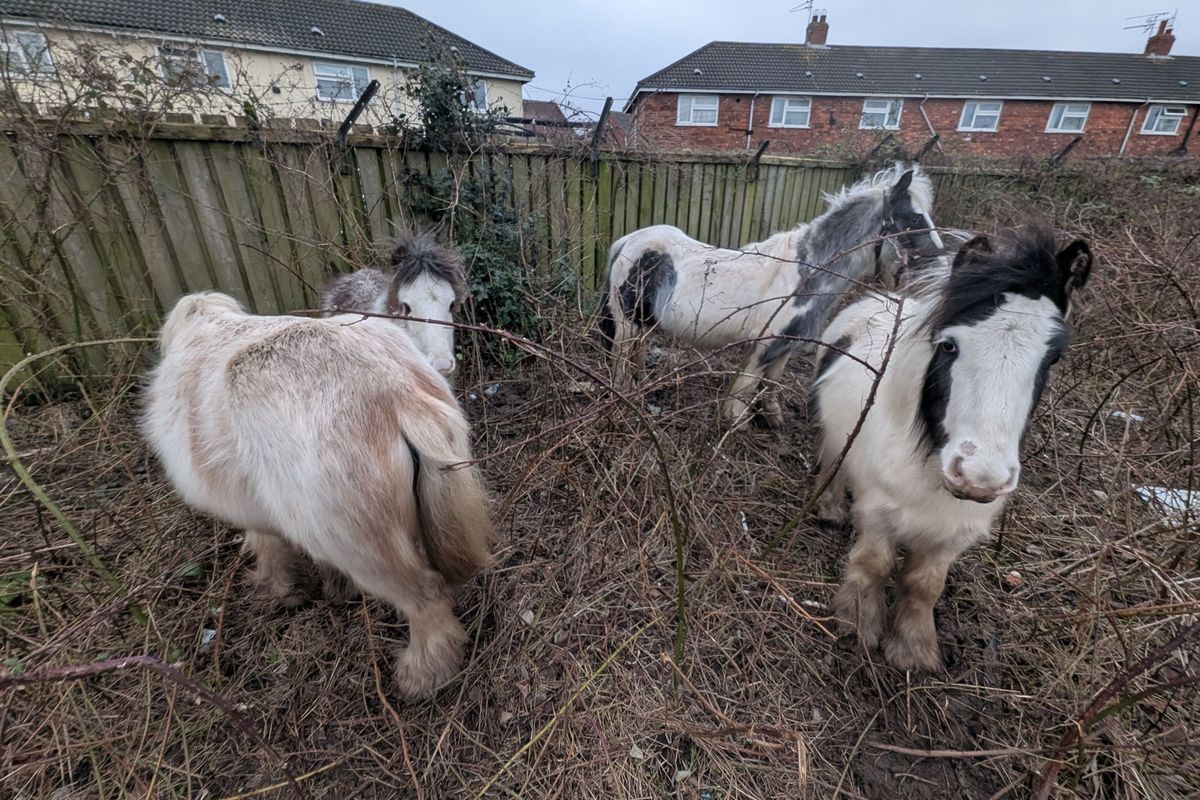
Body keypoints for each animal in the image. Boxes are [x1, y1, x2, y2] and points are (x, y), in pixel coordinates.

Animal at [143, 292, 493, 698]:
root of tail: (395, 392)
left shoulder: (253, 510)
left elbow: (268, 548)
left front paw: (275, 591)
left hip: (359, 543)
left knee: (426, 599)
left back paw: (423, 674)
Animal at [598, 162, 944, 429]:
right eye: (914, 219)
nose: (941, 266)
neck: (807, 271)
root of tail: (629, 241)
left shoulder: (787, 344)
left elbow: (772, 382)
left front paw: (772, 417)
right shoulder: (765, 344)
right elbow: (746, 386)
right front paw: (735, 422)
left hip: (645, 321)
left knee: (638, 353)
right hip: (626, 324)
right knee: (620, 360)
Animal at [811, 225, 1093, 672]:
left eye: (1053, 358)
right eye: (949, 346)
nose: (980, 477)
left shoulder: (955, 531)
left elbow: (925, 583)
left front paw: (913, 650)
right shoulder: (877, 510)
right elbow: (875, 564)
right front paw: (858, 624)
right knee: (831, 457)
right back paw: (830, 507)